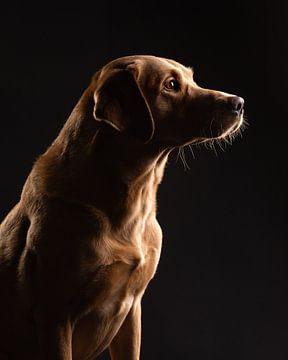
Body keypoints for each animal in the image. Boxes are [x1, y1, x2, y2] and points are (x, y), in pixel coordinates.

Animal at [0, 54, 244, 358]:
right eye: (171, 85)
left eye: (192, 79)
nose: (238, 103)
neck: (132, 199)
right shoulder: (54, 316)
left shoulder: (131, 310)